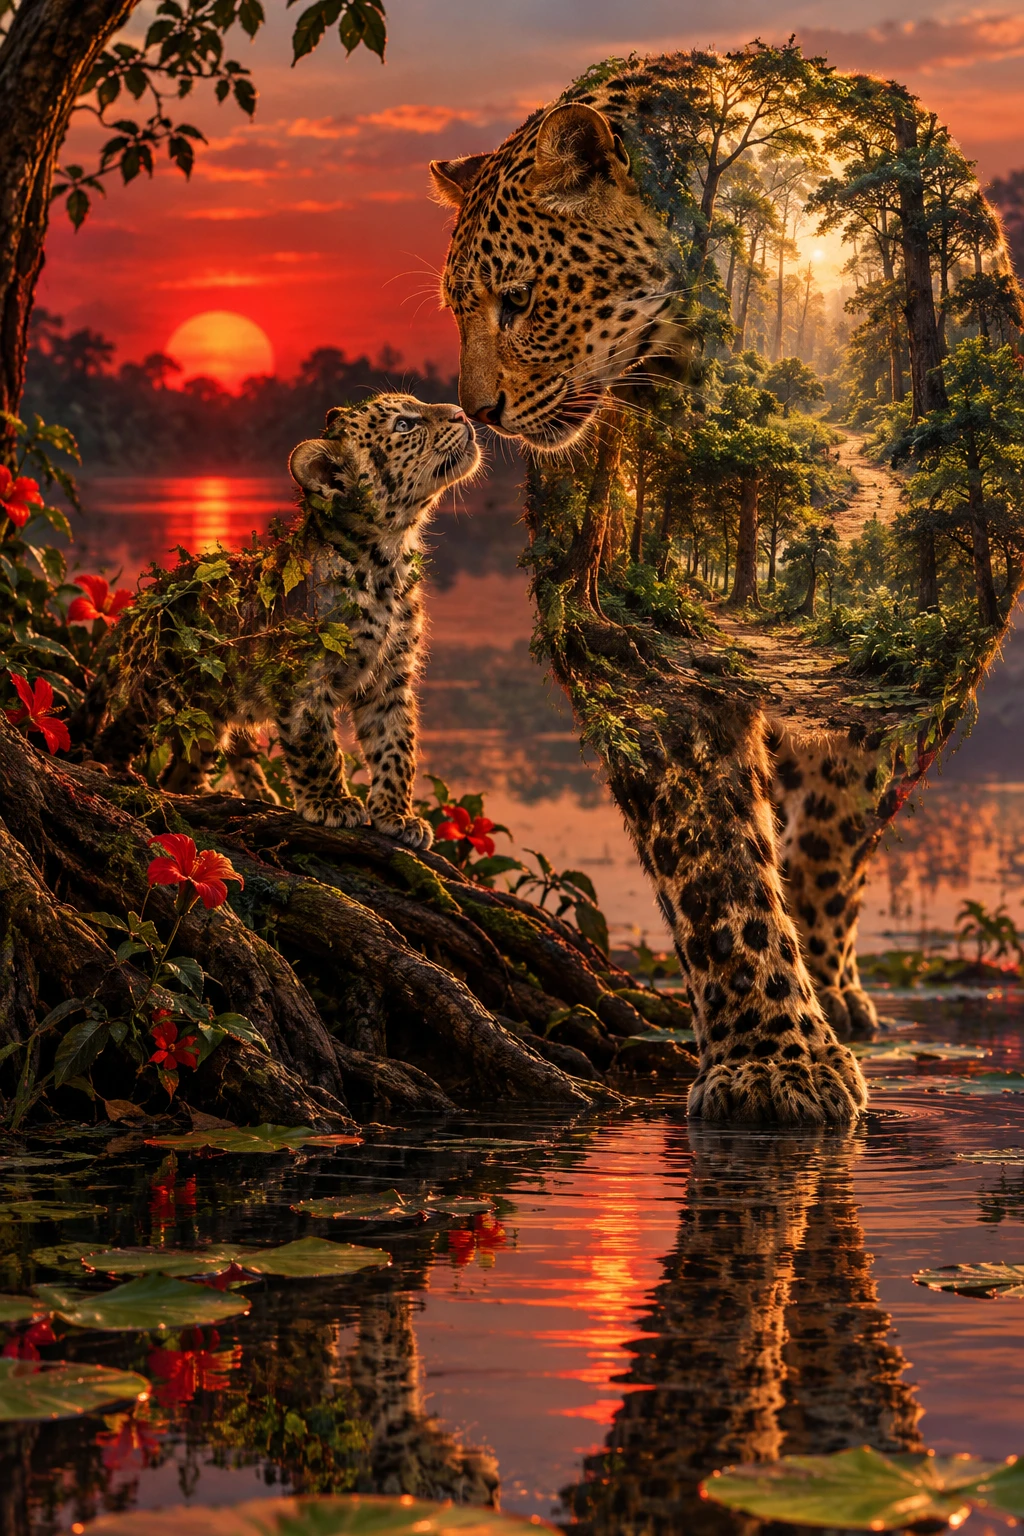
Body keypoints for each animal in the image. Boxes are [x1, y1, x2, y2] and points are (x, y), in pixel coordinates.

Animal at [82, 394, 480, 848]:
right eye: (404, 425)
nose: (462, 414)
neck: (386, 562)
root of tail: (147, 602)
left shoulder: (391, 678)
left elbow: (396, 746)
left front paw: (397, 815)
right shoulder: (302, 679)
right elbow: (317, 746)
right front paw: (330, 804)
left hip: (206, 720)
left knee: (181, 772)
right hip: (159, 692)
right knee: (120, 731)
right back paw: (108, 771)